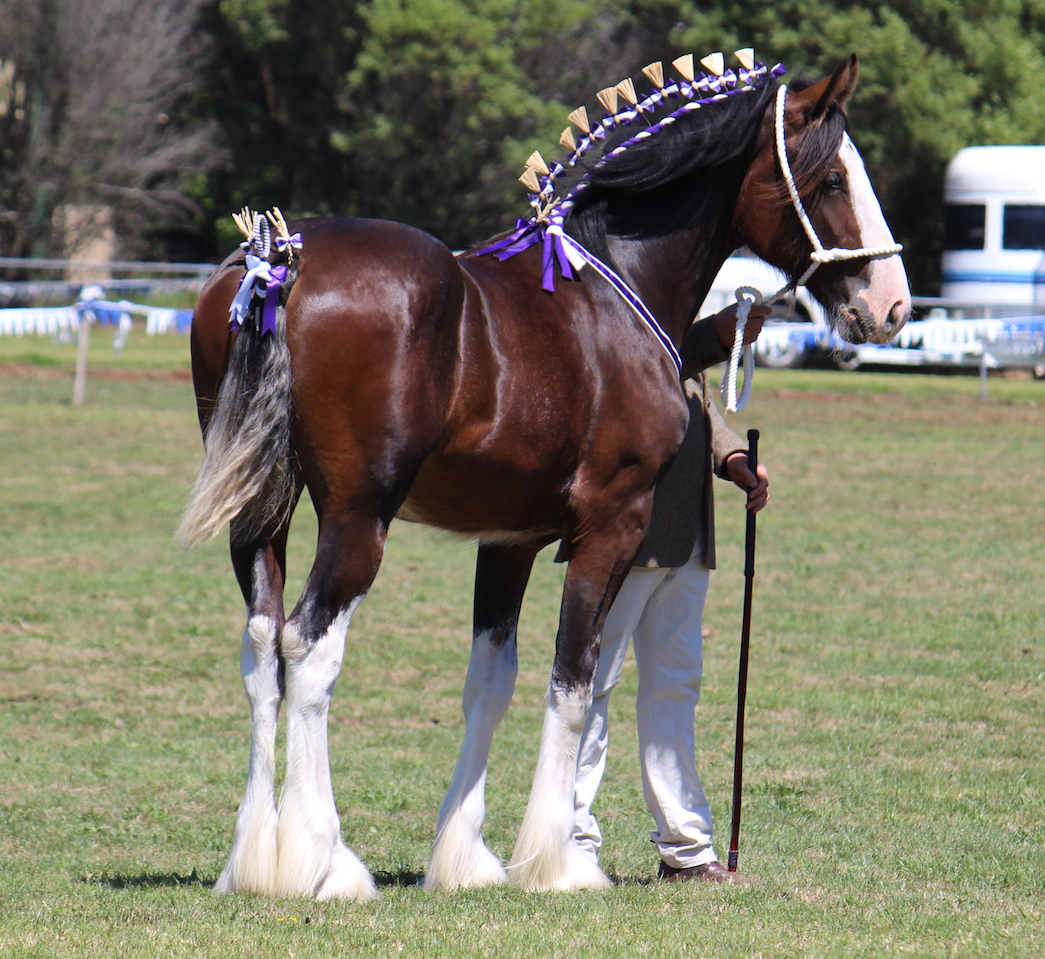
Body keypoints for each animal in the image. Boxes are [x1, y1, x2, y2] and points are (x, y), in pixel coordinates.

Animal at [177, 56, 907, 906]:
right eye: (832, 178)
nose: (890, 304)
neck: (614, 290)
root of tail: (277, 262)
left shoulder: (508, 540)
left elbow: (491, 681)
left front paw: (464, 856)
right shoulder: (610, 527)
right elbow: (574, 680)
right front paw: (558, 862)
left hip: (264, 513)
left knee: (263, 646)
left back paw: (252, 858)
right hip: (358, 519)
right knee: (310, 647)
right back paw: (318, 859)